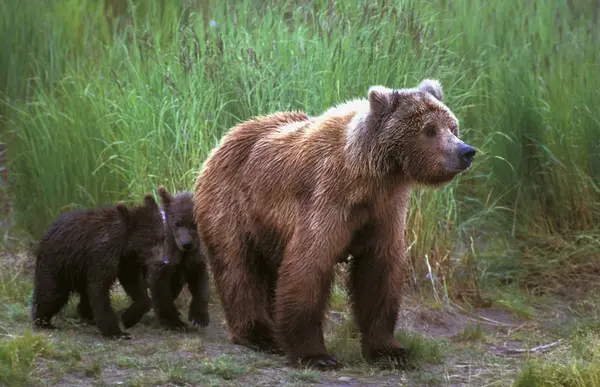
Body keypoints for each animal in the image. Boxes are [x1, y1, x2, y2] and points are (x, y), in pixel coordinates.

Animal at [31, 194, 165, 340]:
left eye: (162, 238)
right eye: (149, 241)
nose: (163, 261)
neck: (124, 249)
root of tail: (48, 230)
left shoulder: (127, 263)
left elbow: (135, 286)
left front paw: (128, 318)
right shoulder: (101, 257)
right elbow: (99, 291)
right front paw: (116, 332)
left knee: (82, 295)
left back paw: (88, 316)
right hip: (58, 264)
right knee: (51, 293)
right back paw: (44, 321)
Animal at [144, 186, 210, 332]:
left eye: (194, 223)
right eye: (177, 223)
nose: (187, 244)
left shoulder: (194, 260)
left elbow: (200, 284)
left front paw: (199, 318)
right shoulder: (162, 262)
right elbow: (161, 290)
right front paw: (174, 322)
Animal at [195, 78, 476, 370]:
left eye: (452, 126)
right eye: (429, 129)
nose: (466, 151)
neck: (372, 176)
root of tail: (225, 137)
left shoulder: (384, 212)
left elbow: (379, 273)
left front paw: (390, 350)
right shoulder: (328, 198)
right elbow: (308, 265)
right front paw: (316, 355)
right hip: (232, 206)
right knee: (239, 267)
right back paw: (259, 334)